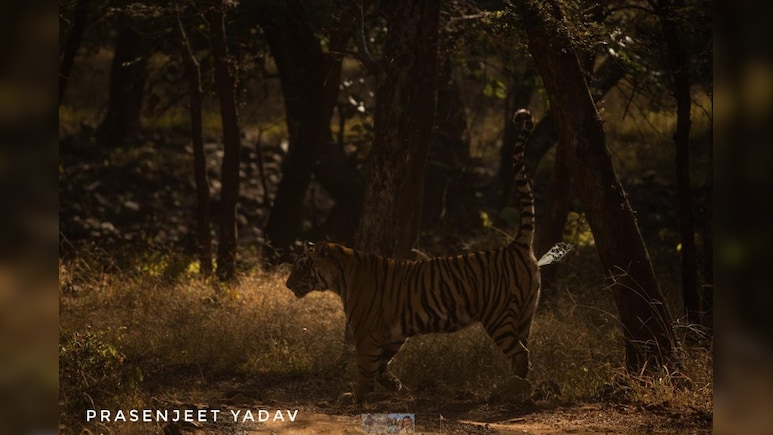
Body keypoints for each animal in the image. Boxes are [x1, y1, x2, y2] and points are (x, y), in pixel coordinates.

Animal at [285, 109, 572, 403]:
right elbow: (382, 364)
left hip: (498, 315)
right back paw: (518, 386)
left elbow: (365, 366)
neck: (340, 278)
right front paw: (393, 385)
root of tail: (515, 245)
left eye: (301, 266)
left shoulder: (367, 331)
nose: (286, 284)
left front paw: (357, 396)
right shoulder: (392, 332)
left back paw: (512, 388)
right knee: (525, 349)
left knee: (520, 353)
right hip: (526, 314)